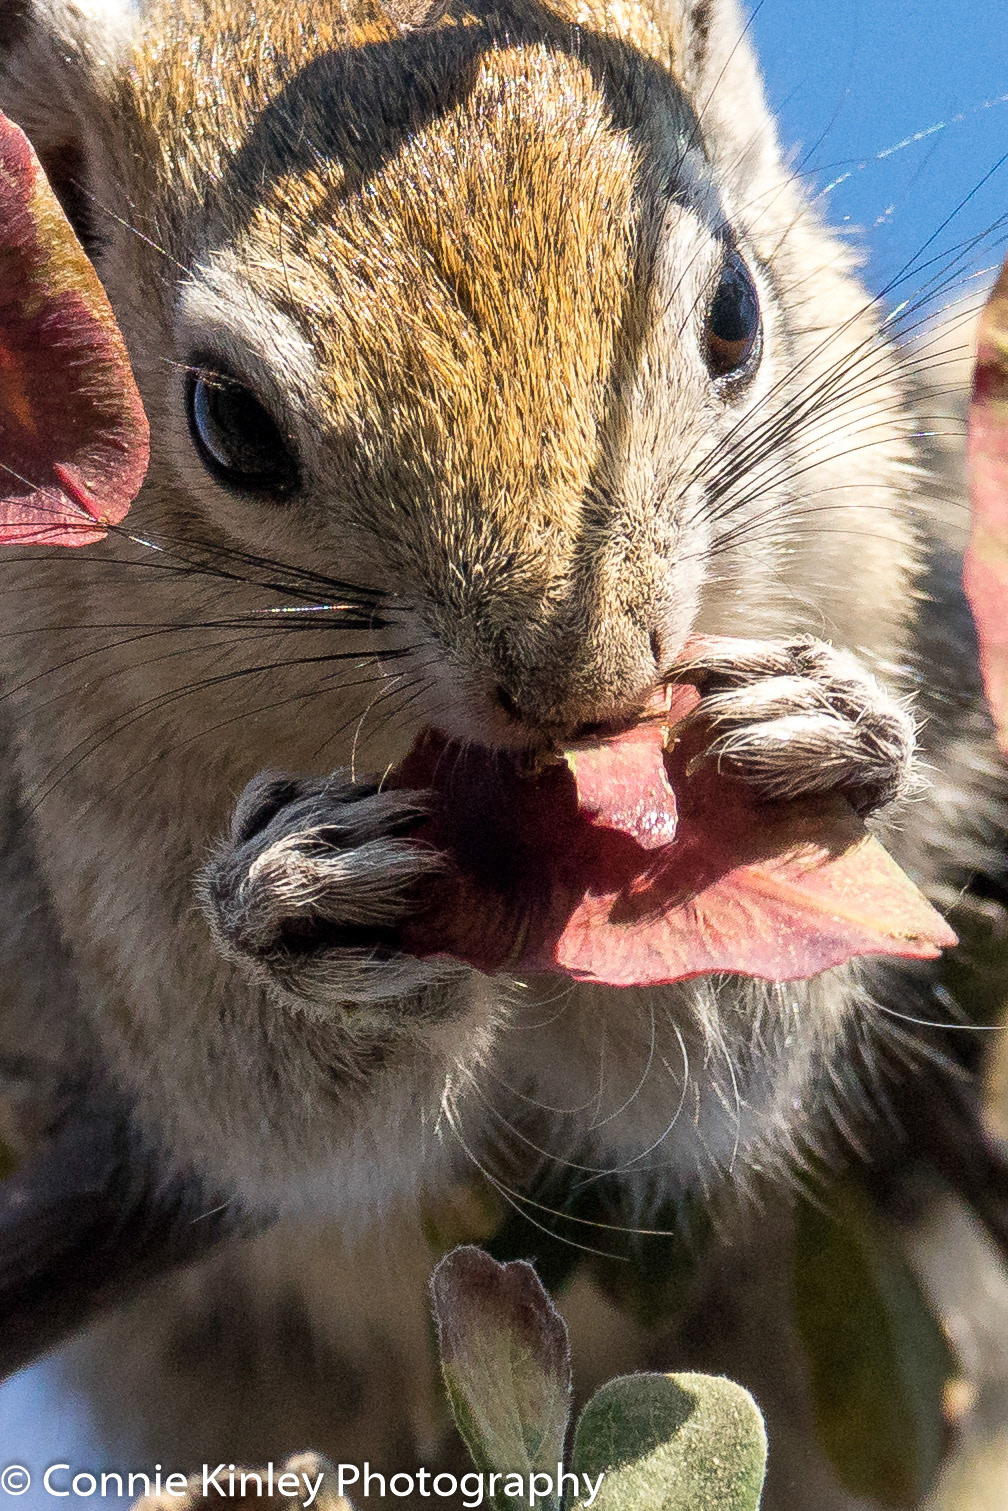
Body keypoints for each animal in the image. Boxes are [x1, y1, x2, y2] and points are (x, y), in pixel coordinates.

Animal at [0, 0, 1004, 1486]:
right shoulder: (96, 832)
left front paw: (825, 743)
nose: (582, 685)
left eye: (737, 312)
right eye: (224, 421)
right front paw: (300, 900)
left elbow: (705, 1059)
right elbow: (252, 1102)